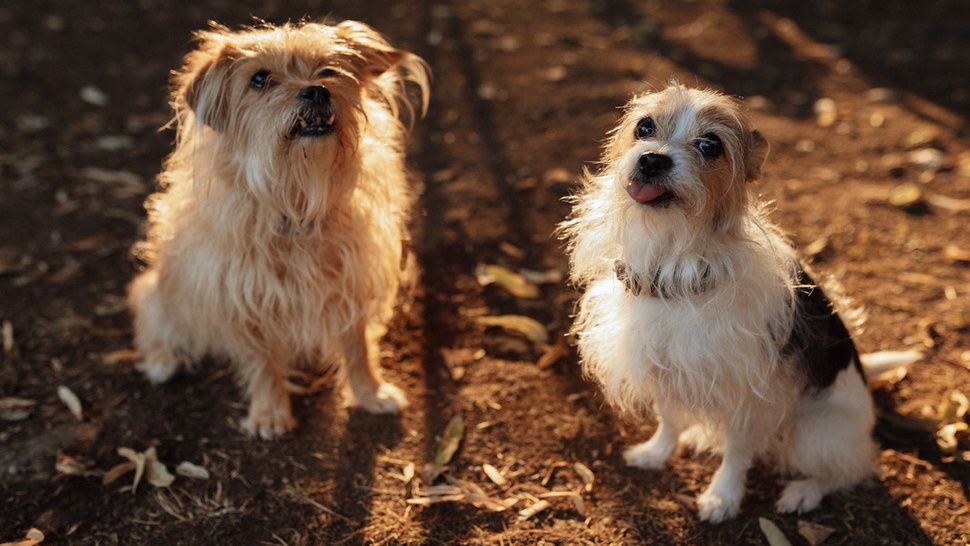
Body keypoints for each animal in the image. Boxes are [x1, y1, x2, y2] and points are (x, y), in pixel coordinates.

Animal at [127, 20, 428, 438]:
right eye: (259, 79)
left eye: (329, 70)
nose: (316, 90)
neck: (297, 205)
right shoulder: (242, 298)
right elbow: (262, 360)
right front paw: (270, 412)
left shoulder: (350, 284)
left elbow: (358, 347)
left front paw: (370, 393)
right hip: (163, 292)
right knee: (151, 314)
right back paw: (161, 360)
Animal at [560, 84, 876, 520]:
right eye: (645, 127)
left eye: (710, 146)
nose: (652, 159)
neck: (674, 259)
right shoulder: (662, 367)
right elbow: (668, 420)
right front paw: (657, 452)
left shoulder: (746, 393)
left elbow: (737, 452)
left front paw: (722, 496)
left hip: (815, 432)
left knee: (850, 470)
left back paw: (805, 492)